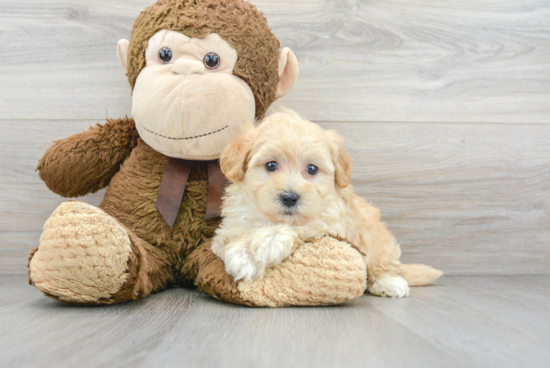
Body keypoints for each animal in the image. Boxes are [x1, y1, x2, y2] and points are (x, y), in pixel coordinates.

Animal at [212, 110, 444, 300]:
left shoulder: (328, 222)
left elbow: (290, 227)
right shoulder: (232, 223)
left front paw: (262, 247)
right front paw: (243, 254)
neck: (272, 217)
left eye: (312, 169)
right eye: (270, 165)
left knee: (385, 265)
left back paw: (390, 282)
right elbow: (232, 236)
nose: (290, 197)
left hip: (380, 243)